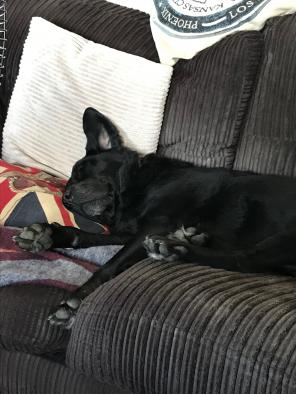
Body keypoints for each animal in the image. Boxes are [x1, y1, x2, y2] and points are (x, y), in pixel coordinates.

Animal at [13, 107, 296, 326]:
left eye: (82, 169)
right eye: (66, 201)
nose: (67, 198)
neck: (135, 187)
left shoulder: (154, 225)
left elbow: (111, 264)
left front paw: (78, 299)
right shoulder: (129, 232)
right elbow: (87, 236)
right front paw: (49, 234)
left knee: (242, 260)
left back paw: (174, 247)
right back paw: (189, 239)